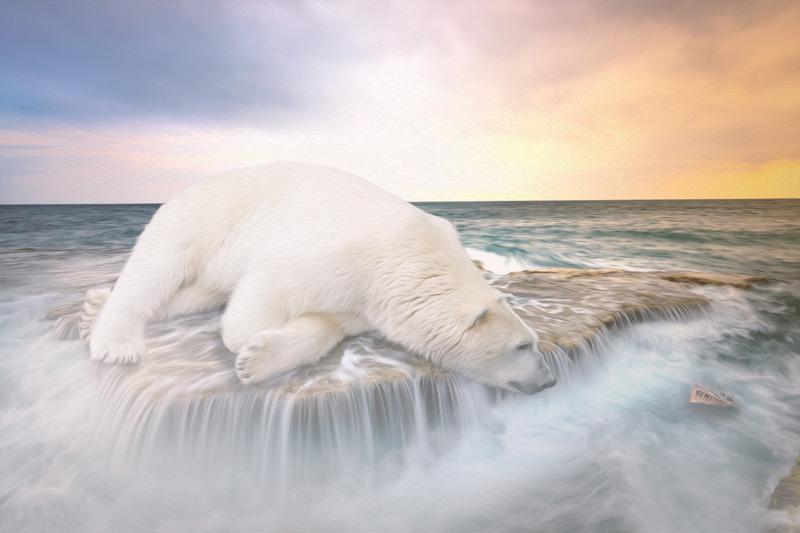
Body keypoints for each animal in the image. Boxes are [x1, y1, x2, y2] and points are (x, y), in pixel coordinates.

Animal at [84, 162, 556, 394]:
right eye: (523, 345)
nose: (550, 379)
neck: (410, 257)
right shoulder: (337, 253)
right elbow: (264, 293)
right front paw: (246, 345)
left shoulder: (366, 297)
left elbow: (327, 324)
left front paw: (260, 358)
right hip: (204, 218)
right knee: (156, 268)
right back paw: (114, 340)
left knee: (190, 292)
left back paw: (97, 304)